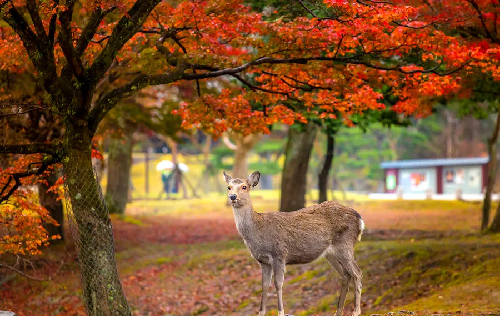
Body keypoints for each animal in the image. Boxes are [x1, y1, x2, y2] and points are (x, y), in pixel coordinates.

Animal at [225, 172, 364, 316]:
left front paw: (281, 312)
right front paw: (261, 312)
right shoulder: (263, 261)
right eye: (228, 187)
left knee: (357, 273)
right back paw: (338, 312)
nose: (232, 197)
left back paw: (356, 311)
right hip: (331, 254)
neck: (257, 231)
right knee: (345, 276)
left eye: (244, 186)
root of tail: (360, 219)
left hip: (345, 245)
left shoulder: (279, 254)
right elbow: (264, 285)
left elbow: (278, 284)